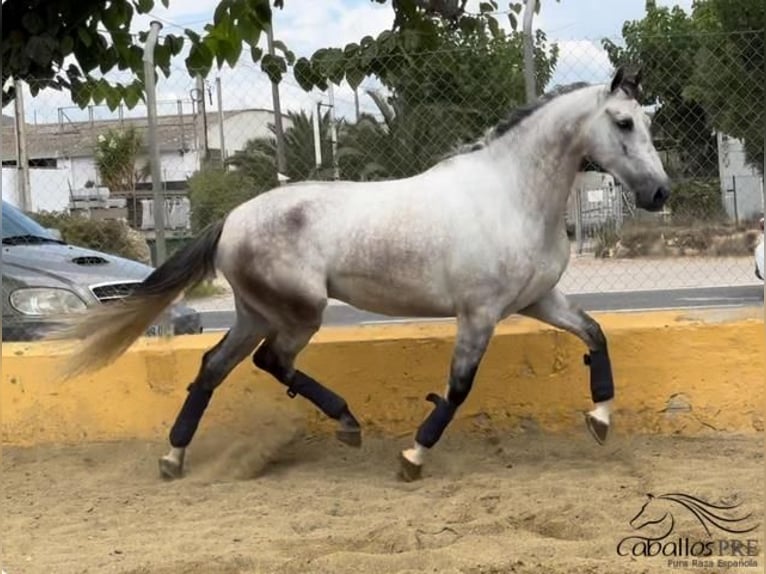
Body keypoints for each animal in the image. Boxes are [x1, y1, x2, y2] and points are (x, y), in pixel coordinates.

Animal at [49, 66, 672, 482]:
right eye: (622, 122)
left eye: (647, 121)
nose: (660, 194)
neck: (511, 196)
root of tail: (231, 220)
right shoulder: (480, 313)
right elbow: (458, 387)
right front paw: (413, 456)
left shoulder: (538, 301)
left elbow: (595, 334)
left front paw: (600, 419)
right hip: (300, 313)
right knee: (271, 363)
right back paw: (346, 423)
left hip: (255, 313)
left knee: (212, 368)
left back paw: (174, 457)